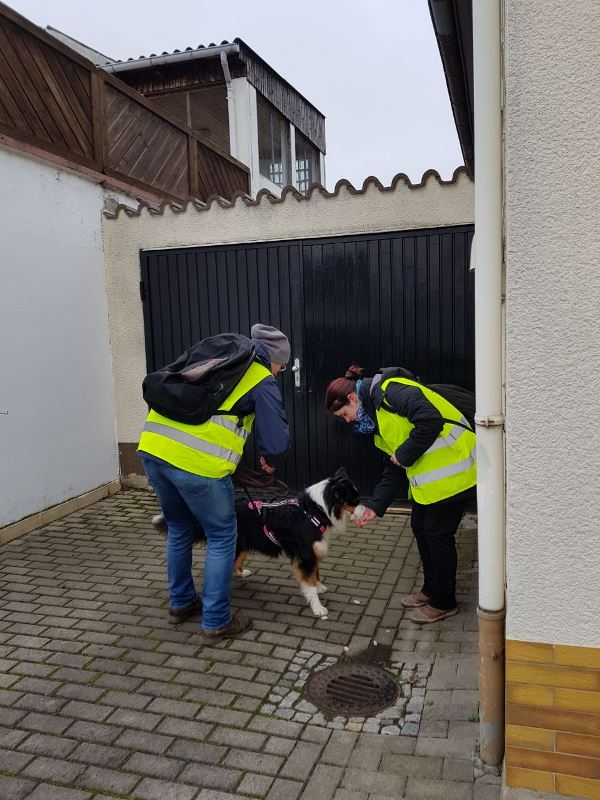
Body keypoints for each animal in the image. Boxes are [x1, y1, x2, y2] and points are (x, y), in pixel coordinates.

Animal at [151, 467, 361, 618]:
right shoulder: (305, 554)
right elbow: (308, 582)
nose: (365, 511)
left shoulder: (313, 550)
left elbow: (316, 572)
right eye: (355, 500)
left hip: (239, 542)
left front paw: (319, 587)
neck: (314, 510)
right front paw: (318, 607)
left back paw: (240, 573)